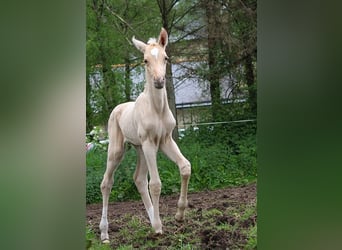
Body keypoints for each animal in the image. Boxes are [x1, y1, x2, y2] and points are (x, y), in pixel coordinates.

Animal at [99, 28, 192, 243]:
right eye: (145, 60)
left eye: (166, 57)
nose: (159, 82)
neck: (157, 109)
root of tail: (117, 108)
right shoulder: (150, 143)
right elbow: (156, 184)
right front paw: (159, 227)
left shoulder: (166, 140)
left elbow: (185, 167)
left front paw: (179, 215)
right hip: (118, 150)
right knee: (107, 183)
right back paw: (105, 233)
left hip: (139, 148)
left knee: (139, 179)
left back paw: (153, 221)